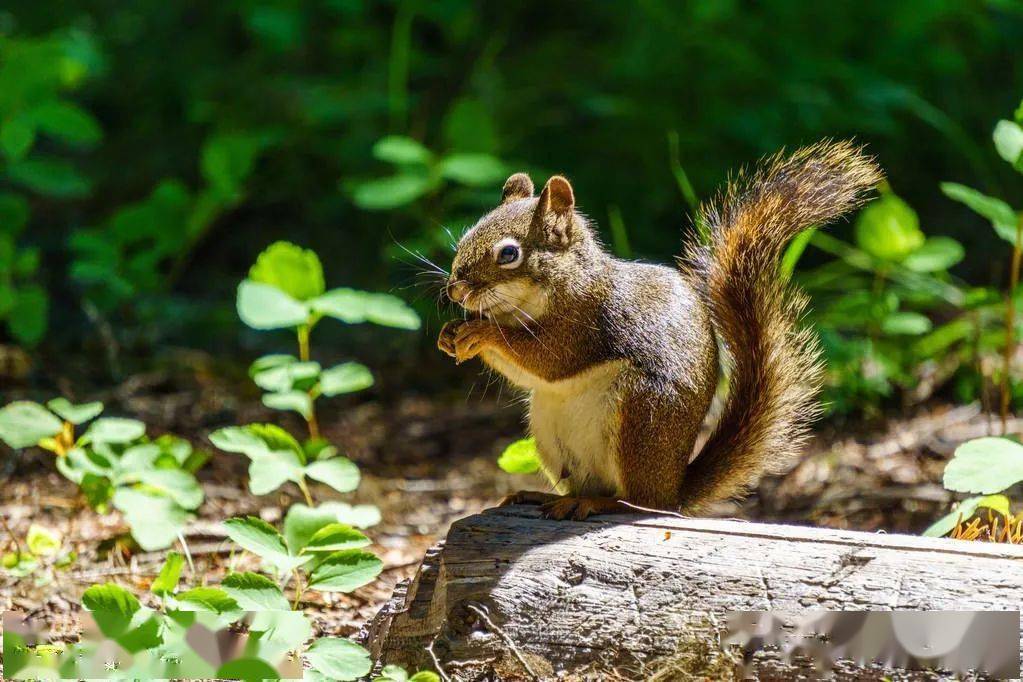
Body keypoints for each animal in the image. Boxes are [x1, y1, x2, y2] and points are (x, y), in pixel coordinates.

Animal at [435, 141, 883, 519]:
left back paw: (597, 503)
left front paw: (484, 335)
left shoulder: (586, 323)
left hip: (642, 414)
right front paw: (450, 334)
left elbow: (548, 359)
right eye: (469, 233)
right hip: (549, 424)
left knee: (636, 502)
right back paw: (546, 495)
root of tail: (673, 491)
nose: (454, 288)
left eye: (509, 253)